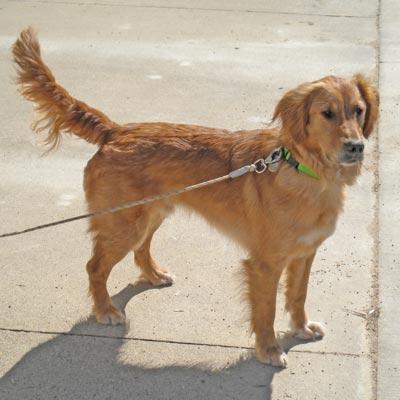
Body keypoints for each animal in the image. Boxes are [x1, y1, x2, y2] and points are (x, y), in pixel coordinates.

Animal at [12, 27, 379, 368]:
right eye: (327, 113)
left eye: (358, 110)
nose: (356, 147)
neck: (306, 170)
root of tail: (116, 131)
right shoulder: (266, 263)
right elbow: (266, 311)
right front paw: (269, 349)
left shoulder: (304, 254)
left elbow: (298, 296)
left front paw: (300, 328)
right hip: (123, 225)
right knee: (95, 267)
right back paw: (105, 310)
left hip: (151, 214)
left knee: (141, 249)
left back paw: (153, 275)